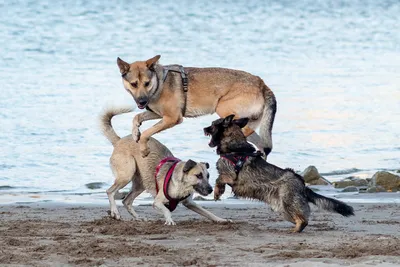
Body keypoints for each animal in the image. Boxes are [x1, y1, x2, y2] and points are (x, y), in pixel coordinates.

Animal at [100, 107, 228, 226]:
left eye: (208, 176)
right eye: (198, 175)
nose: (211, 189)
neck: (182, 185)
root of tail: (119, 141)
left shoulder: (189, 203)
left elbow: (208, 213)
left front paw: (220, 219)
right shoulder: (157, 202)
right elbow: (166, 210)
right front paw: (169, 220)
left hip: (141, 183)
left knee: (126, 201)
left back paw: (139, 218)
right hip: (127, 175)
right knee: (110, 191)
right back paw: (115, 212)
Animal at [116, 55, 276, 158]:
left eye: (147, 83)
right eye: (134, 84)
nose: (142, 102)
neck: (159, 83)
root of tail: (262, 84)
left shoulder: (172, 118)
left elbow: (147, 133)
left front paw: (143, 149)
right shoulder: (160, 114)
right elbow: (137, 117)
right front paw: (135, 133)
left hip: (223, 109)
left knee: (245, 131)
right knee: (260, 144)